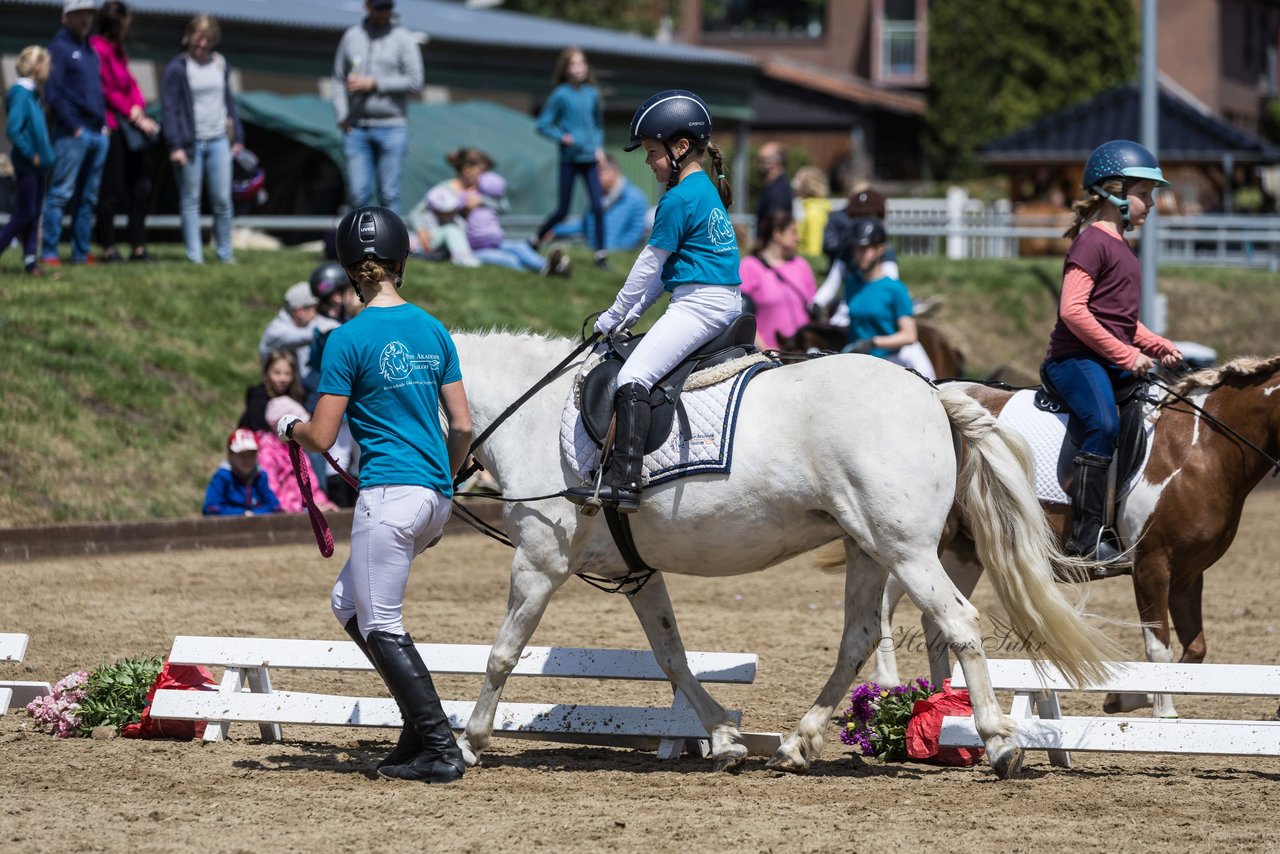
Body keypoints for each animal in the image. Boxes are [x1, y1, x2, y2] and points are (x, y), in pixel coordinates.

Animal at [455, 330, 1116, 778]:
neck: (532, 418)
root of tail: (931, 392)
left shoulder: (539, 562)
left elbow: (502, 654)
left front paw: (469, 741)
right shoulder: (637, 573)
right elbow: (672, 656)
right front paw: (724, 739)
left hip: (906, 549)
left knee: (956, 621)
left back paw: (999, 744)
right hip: (866, 546)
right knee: (859, 635)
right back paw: (800, 742)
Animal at [870, 353, 1280, 717]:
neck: (1201, 448)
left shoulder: (1187, 575)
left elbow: (1195, 651)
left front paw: (1127, 698)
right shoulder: (1152, 566)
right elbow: (1158, 648)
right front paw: (1162, 712)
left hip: (963, 550)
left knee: (936, 619)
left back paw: (942, 697)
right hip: (917, 543)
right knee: (886, 600)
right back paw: (888, 682)